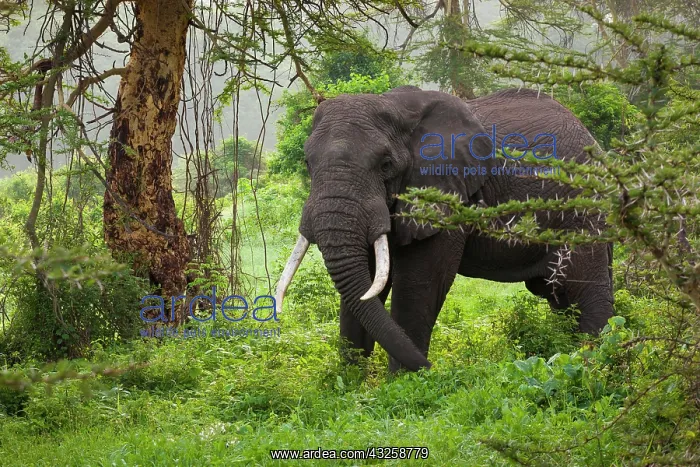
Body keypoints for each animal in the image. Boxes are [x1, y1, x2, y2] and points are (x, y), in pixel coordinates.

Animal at [275, 86, 615, 372]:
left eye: (386, 165)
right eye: (307, 163)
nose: (433, 368)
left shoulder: (446, 193)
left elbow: (419, 283)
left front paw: (401, 385)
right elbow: (364, 281)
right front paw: (350, 385)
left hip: (582, 211)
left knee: (587, 291)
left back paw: (594, 360)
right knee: (560, 298)